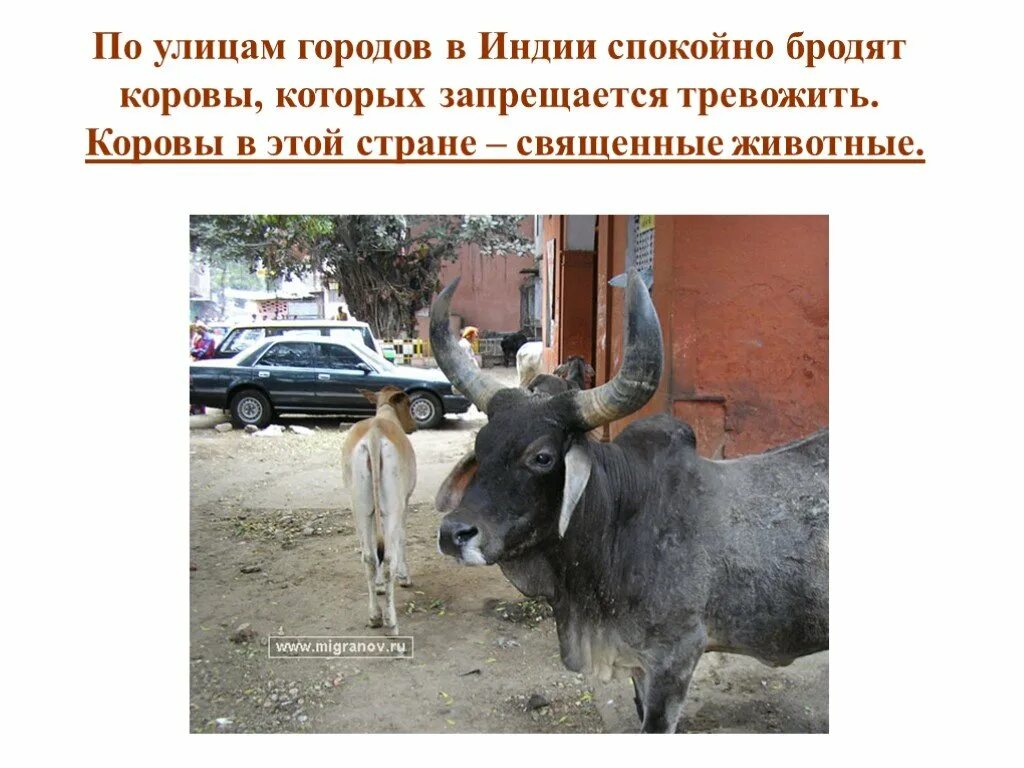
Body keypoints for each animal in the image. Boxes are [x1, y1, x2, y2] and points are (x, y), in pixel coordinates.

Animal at [341, 386, 418, 633]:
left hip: (360, 507)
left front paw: (380, 586)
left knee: (368, 557)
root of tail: (374, 435)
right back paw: (391, 621)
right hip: (393, 506)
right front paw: (404, 576)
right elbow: (402, 538)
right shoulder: (405, 501)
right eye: (408, 402)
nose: (414, 425)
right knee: (389, 557)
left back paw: (374, 615)